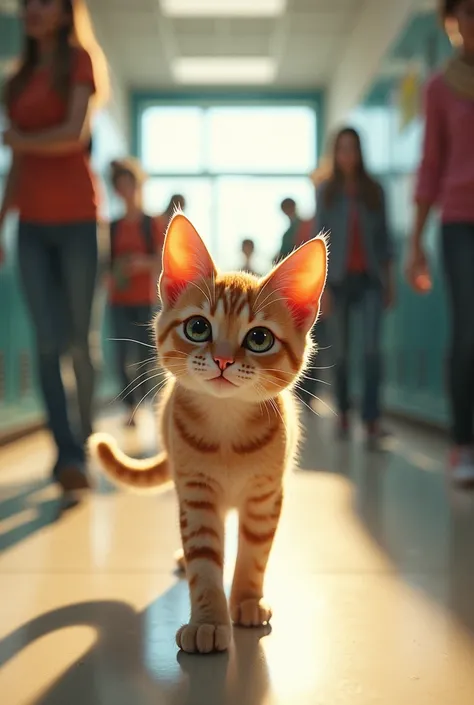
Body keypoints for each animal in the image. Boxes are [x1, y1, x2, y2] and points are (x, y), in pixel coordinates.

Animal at [89, 213, 326, 656]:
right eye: (198, 328)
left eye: (259, 338)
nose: (223, 360)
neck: (226, 432)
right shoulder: (196, 494)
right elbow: (204, 561)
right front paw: (208, 620)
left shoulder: (265, 496)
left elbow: (254, 553)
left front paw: (246, 598)